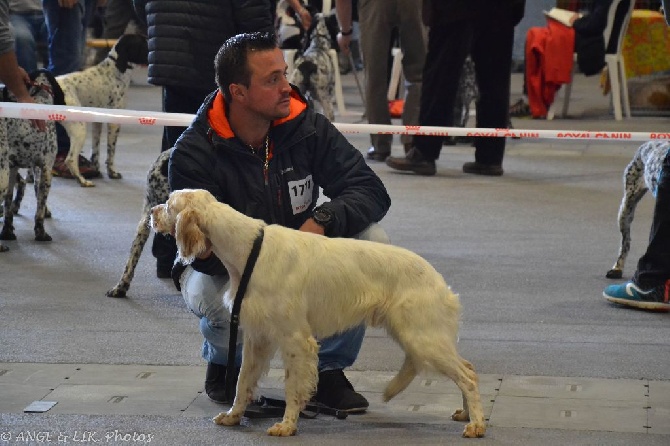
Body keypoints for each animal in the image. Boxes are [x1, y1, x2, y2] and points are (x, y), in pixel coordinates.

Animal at [0, 70, 65, 251]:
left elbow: (8, 206)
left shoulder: (15, 168)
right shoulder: (45, 169)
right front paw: (41, 233)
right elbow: (39, 209)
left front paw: (7, 232)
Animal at [57, 34, 148, 186]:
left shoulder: (97, 123)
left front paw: (96, 169)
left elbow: (95, 151)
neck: (114, 71)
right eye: (143, 43)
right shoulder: (114, 123)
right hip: (79, 129)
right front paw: (112, 172)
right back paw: (82, 180)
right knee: (70, 159)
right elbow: (111, 152)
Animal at [151, 189, 488, 440]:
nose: (152, 213)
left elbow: (291, 387)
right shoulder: (257, 337)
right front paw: (234, 416)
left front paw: (287, 425)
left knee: (469, 375)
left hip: (422, 337)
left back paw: (477, 424)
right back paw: (465, 414)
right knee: (468, 367)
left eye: (169, 204)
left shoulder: (295, 339)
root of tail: (439, 281)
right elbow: (243, 381)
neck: (248, 250)